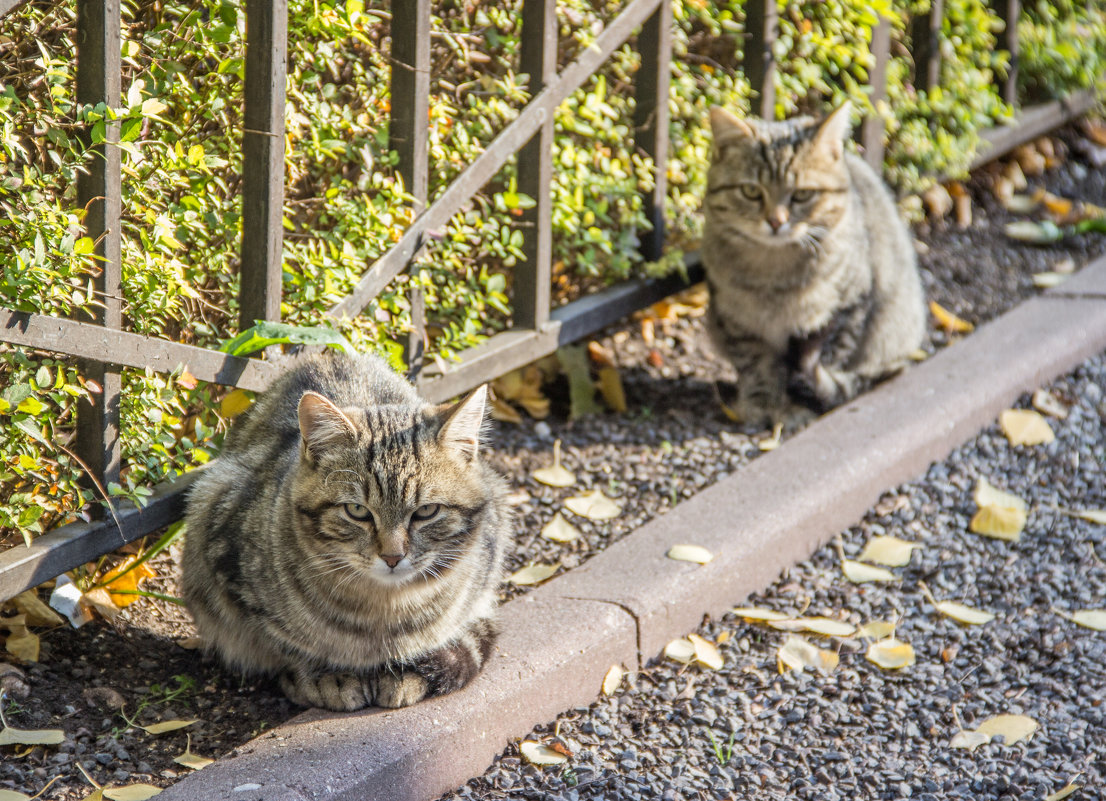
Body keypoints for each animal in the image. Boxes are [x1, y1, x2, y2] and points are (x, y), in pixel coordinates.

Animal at [181, 354, 508, 708]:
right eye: (357, 511)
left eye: (426, 511)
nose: (392, 557)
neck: (383, 612)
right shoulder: (223, 544)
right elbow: (289, 644)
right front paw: (327, 675)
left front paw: (408, 671)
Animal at [698, 103, 924, 429]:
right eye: (751, 191)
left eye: (802, 194)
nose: (775, 221)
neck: (773, 275)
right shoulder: (737, 322)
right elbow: (756, 366)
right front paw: (761, 403)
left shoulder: (848, 309)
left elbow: (826, 360)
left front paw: (799, 407)